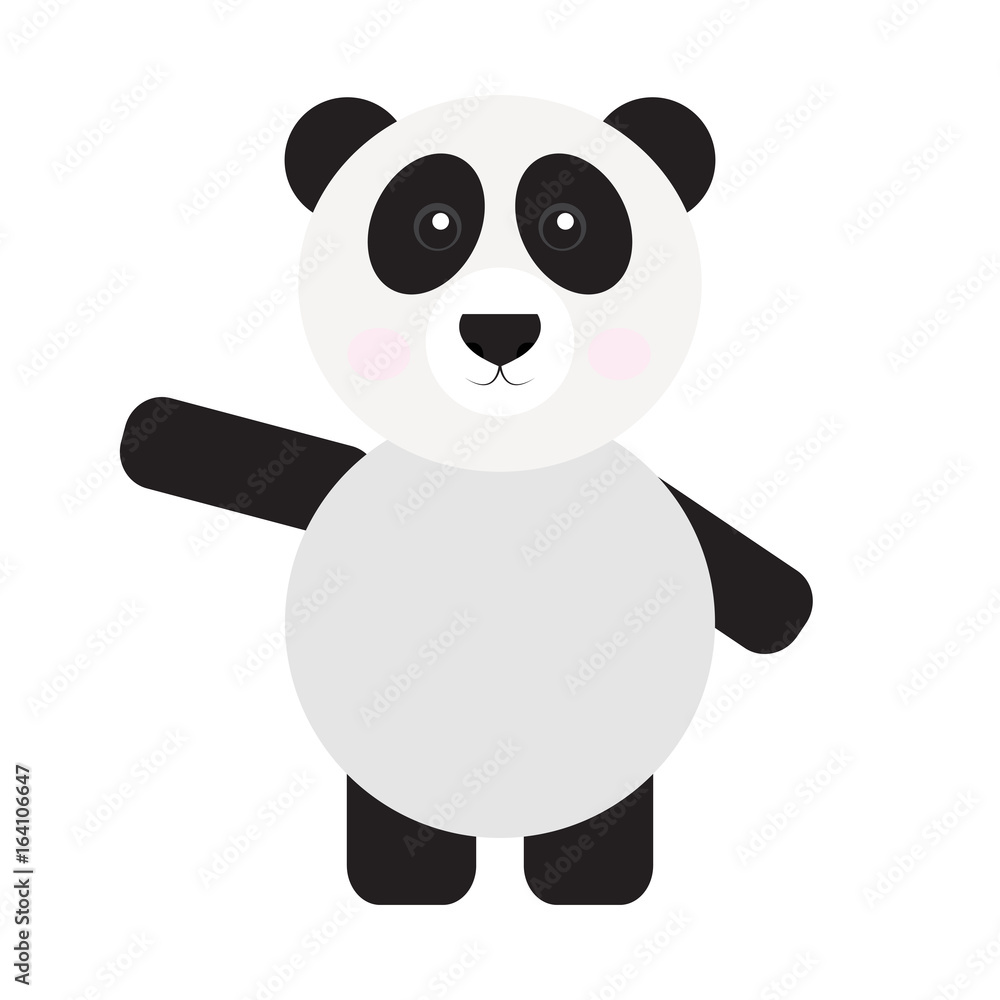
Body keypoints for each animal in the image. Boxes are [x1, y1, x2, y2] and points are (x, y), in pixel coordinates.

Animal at [121, 95, 812, 906]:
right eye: (435, 224)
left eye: (568, 225)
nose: (500, 332)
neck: (498, 468)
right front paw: (149, 431)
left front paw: (790, 606)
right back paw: (408, 882)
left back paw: (589, 882)